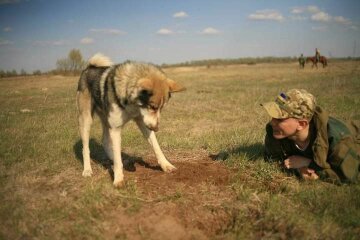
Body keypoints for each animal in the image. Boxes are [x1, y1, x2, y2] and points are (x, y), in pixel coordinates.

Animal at [76, 53, 186, 187]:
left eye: (161, 108)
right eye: (152, 107)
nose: (156, 128)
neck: (132, 104)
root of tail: (89, 67)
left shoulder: (142, 123)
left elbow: (156, 147)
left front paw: (166, 165)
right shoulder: (116, 128)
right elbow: (117, 159)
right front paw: (118, 179)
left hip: (106, 122)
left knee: (106, 142)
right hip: (86, 120)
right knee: (86, 148)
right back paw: (87, 170)